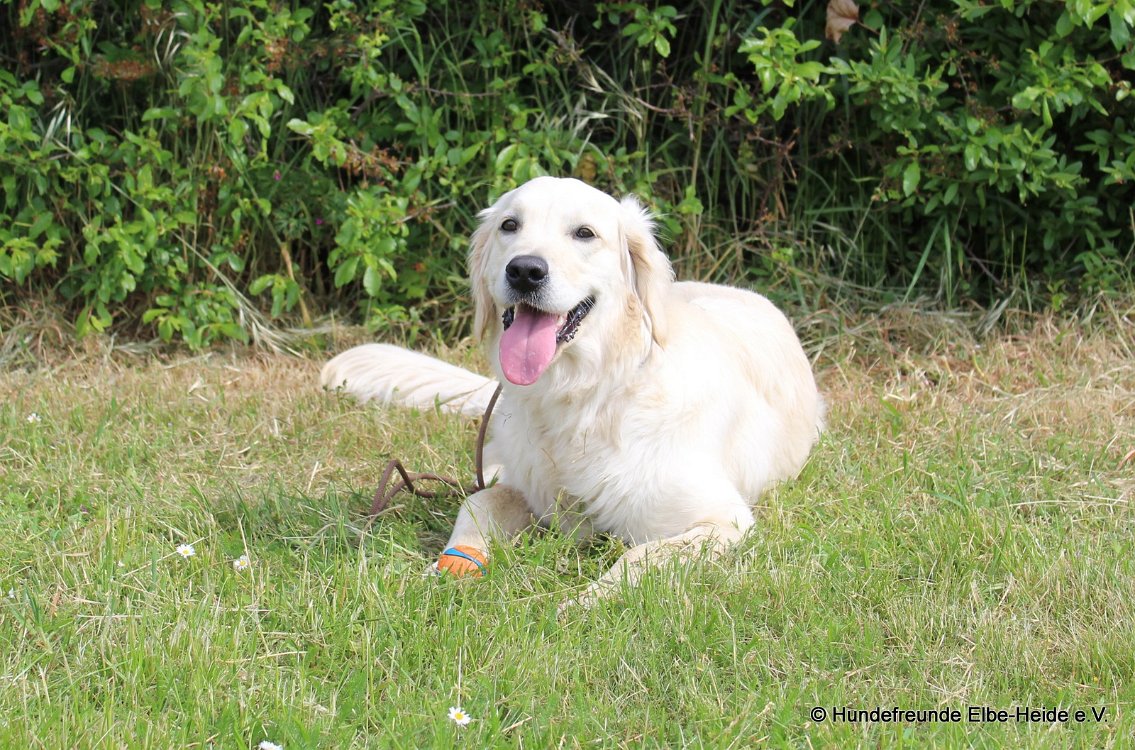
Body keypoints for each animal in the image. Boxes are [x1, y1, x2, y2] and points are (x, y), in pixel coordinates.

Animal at [324, 175, 821, 608]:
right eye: (510, 225)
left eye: (585, 233)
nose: (525, 270)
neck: (583, 396)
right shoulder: (521, 485)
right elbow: (478, 501)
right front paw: (438, 575)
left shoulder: (722, 519)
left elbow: (639, 555)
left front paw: (582, 603)